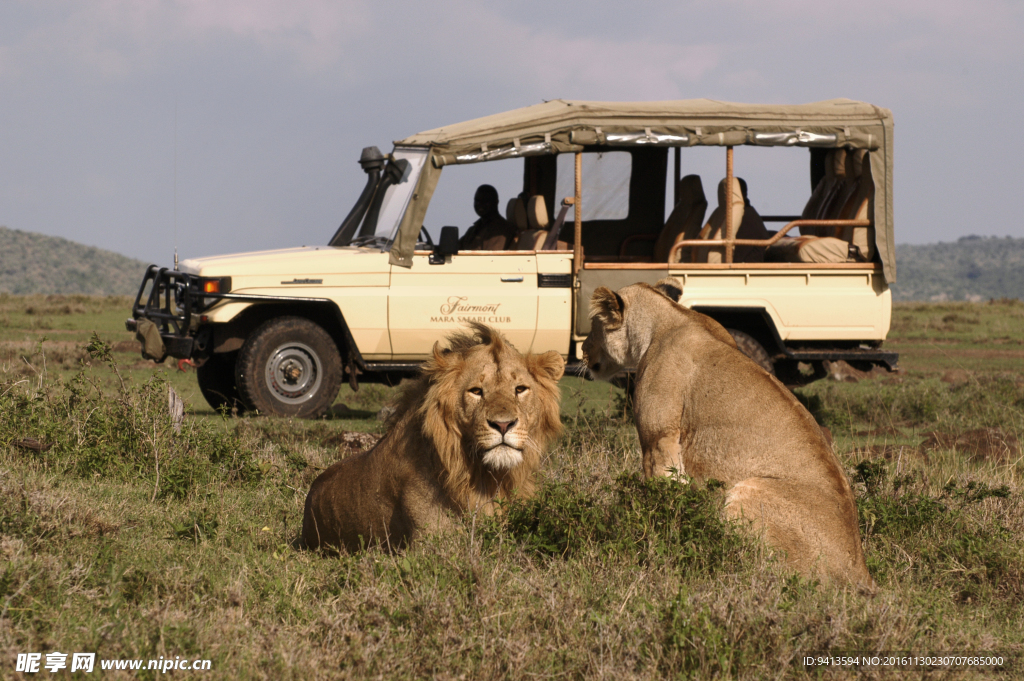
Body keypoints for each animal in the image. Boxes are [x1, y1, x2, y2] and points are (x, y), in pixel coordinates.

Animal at [585, 280, 872, 585]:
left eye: (592, 325)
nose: (582, 350)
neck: (666, 317)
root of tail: (860, 569)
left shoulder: (659, 439)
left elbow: (661, 500)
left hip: (748, 491)